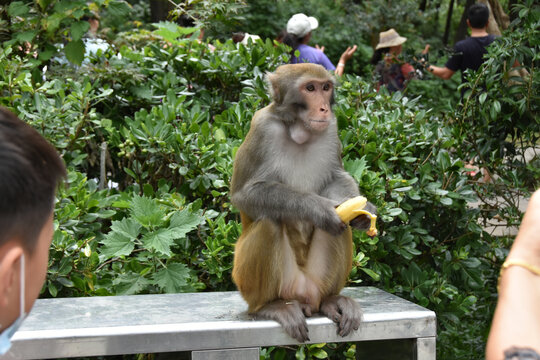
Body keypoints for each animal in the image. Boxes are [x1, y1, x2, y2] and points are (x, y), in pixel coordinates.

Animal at [230, 63, 378, 342]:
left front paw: (363, 211)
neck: (298, 132)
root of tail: (305, 296)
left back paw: (332, 300)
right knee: (269, 223)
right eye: (310, 88)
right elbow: (245, 194)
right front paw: (318, 209)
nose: (324, 108)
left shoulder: (330, 129)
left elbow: (335, 177)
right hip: (248, 282)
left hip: (316, 281)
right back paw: (270, 306)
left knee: (340, 228)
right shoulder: (262, 128)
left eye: (325, 87)